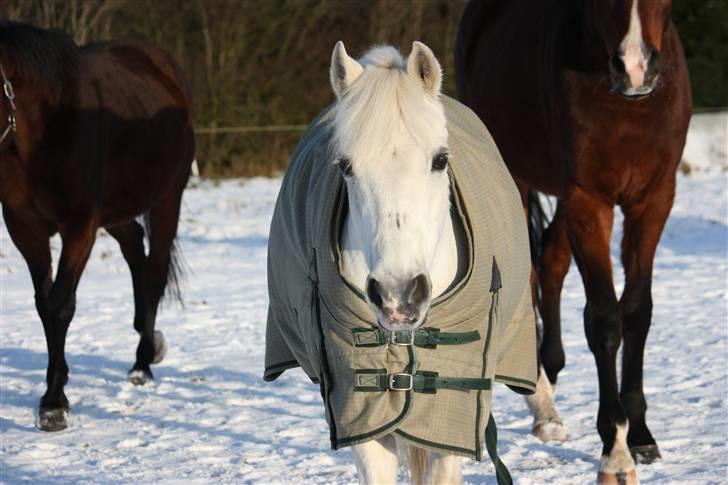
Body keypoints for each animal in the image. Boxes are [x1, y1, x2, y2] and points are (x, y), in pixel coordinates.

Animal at [0, 21, 196, 432]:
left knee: (154, 271)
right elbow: (44, 304)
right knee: (135, 251)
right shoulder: (24, 228)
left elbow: (60, 304)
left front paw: (54, 403)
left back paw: (142, 362)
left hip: (167, 200)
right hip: (118, 210)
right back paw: (148, 344)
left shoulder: (80, 226)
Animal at [458, 0, 692, 480]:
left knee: (550, 259)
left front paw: (641, 435)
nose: (635, 69)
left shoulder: (653, 199)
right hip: (517, 180)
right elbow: (603, 319)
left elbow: (636, 312)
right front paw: (615, 451)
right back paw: (542, 405)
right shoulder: (590, 199)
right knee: (525, 277)